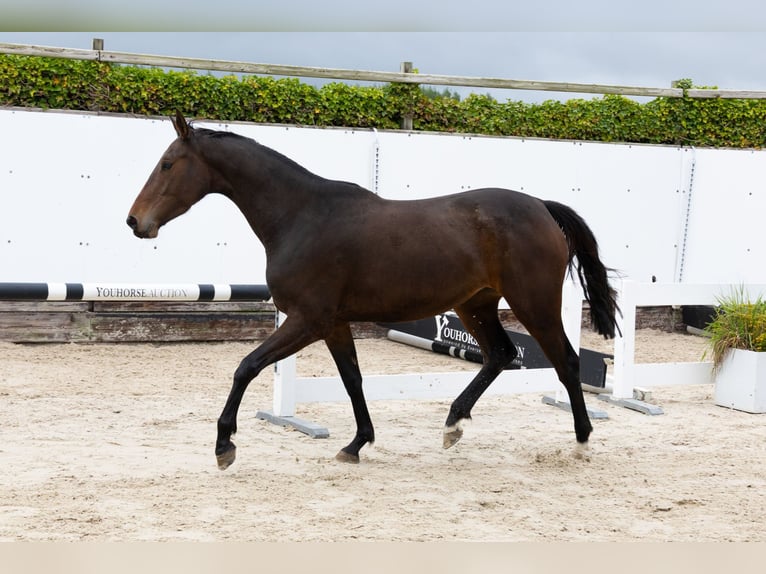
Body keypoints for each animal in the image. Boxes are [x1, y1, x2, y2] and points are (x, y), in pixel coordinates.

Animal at [127, 112, 619, 470]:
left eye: (167, 164)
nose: (135, 222)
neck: (302, 217)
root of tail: (541, 207)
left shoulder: (308, 320)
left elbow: (246, 367)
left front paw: (224, 446)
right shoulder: (332, 324)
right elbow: (352, 379)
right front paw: (357, 444)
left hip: (533, 304)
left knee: (566, 361)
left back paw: (581, 442)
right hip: (474, 305)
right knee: (501, 354)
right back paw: (453, 424)